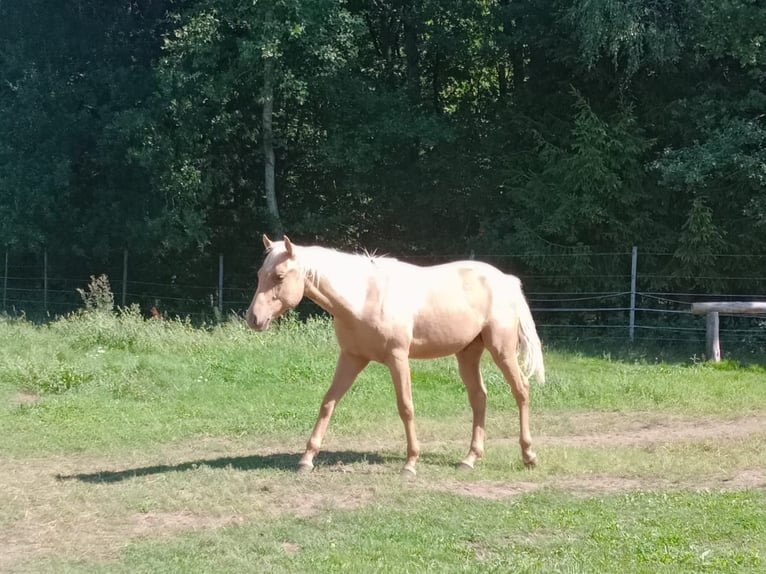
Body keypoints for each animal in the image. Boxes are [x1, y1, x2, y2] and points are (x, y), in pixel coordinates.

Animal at [245, 235, 545, 477]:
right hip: (468, 354)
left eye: (279, 276)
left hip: (501, 350)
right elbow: (328, 402)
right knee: (479, 398)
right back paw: (469, 459)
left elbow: (406, 407)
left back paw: (529, 456)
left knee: (521, 390)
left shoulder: (398, 358)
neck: (365, 297)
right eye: (259, 274)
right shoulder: (351, 358)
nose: (253, 319)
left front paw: (410, 463)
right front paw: (307, 459)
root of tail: (506, 280)